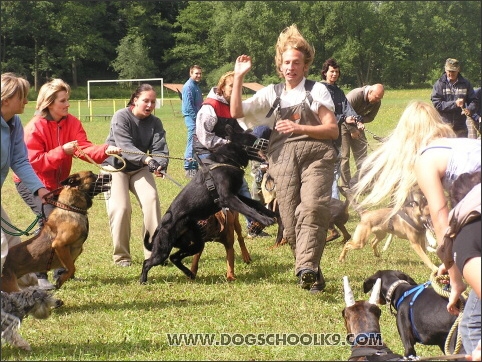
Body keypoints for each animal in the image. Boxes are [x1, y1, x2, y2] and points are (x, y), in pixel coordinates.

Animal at [138, 129, 274, 284]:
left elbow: (254, 203)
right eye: (253, 140)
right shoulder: (227, 198)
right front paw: (266, 220)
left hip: (195, 244)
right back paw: (143, 280)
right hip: (163, 249)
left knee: (175, 257)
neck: (226, 160)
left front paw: (270, 214)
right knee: (148, 262)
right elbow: (248, 209)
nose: (271, 143)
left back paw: (189, 273)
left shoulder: (235, 195)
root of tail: (160, 228)